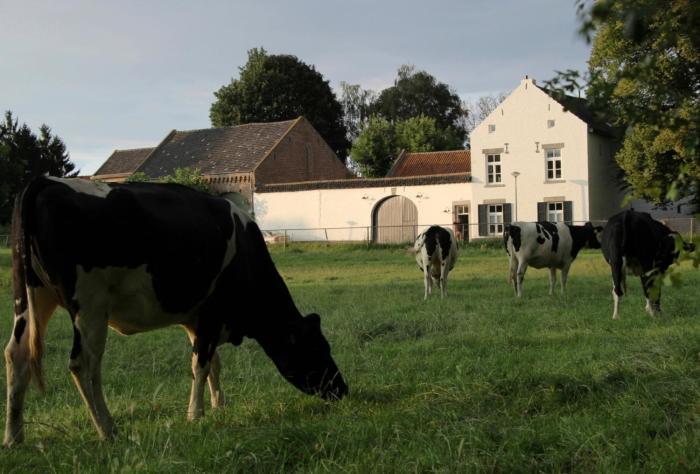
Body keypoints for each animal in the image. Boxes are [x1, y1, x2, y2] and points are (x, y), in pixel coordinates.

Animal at [4, 176, 348, 446]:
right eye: (318, 348)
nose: (342, 389)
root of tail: (45, 182)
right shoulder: (211, 312)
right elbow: (201, 364)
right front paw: (196, 414)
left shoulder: (197, 319)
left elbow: (214, 364)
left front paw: (219, 405)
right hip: (89, 305)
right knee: (84, 365)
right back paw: (107, 428)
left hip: (32, 297)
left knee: (16, 354)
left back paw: (14, 436)